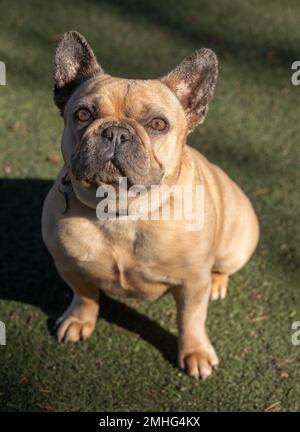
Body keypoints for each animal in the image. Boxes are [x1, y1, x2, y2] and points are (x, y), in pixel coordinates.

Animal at [41, 32, 258, 380]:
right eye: (83, 115)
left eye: (158, 124)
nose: (115, 131)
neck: (121, 209)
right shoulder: (69, 266)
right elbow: (85, 295)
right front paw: (79, 320)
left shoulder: (192, 283)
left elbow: (191, 319)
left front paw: (195, 352)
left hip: (234, 247)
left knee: (223, 268)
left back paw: (217, 283)